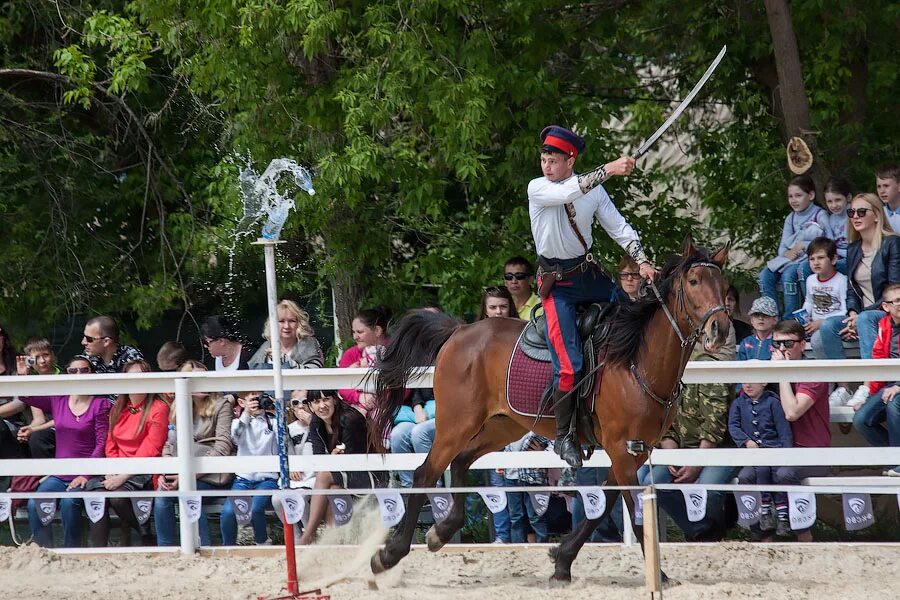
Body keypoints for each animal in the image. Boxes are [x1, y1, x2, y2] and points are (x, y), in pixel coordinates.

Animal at [370, 236, 728, 580]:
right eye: (694, 280)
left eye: (722, 283)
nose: (720, 329)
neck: (636, 359)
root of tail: (459, 331)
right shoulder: (621, 448)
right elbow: (633, 508)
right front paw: (661, 576)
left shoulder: (636, 450)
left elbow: (603, 503)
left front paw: (562, 559)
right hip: (457, 424)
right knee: (425, 472)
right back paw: (390, 554)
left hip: (502, 425)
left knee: (459, 462)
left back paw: (441, 531)